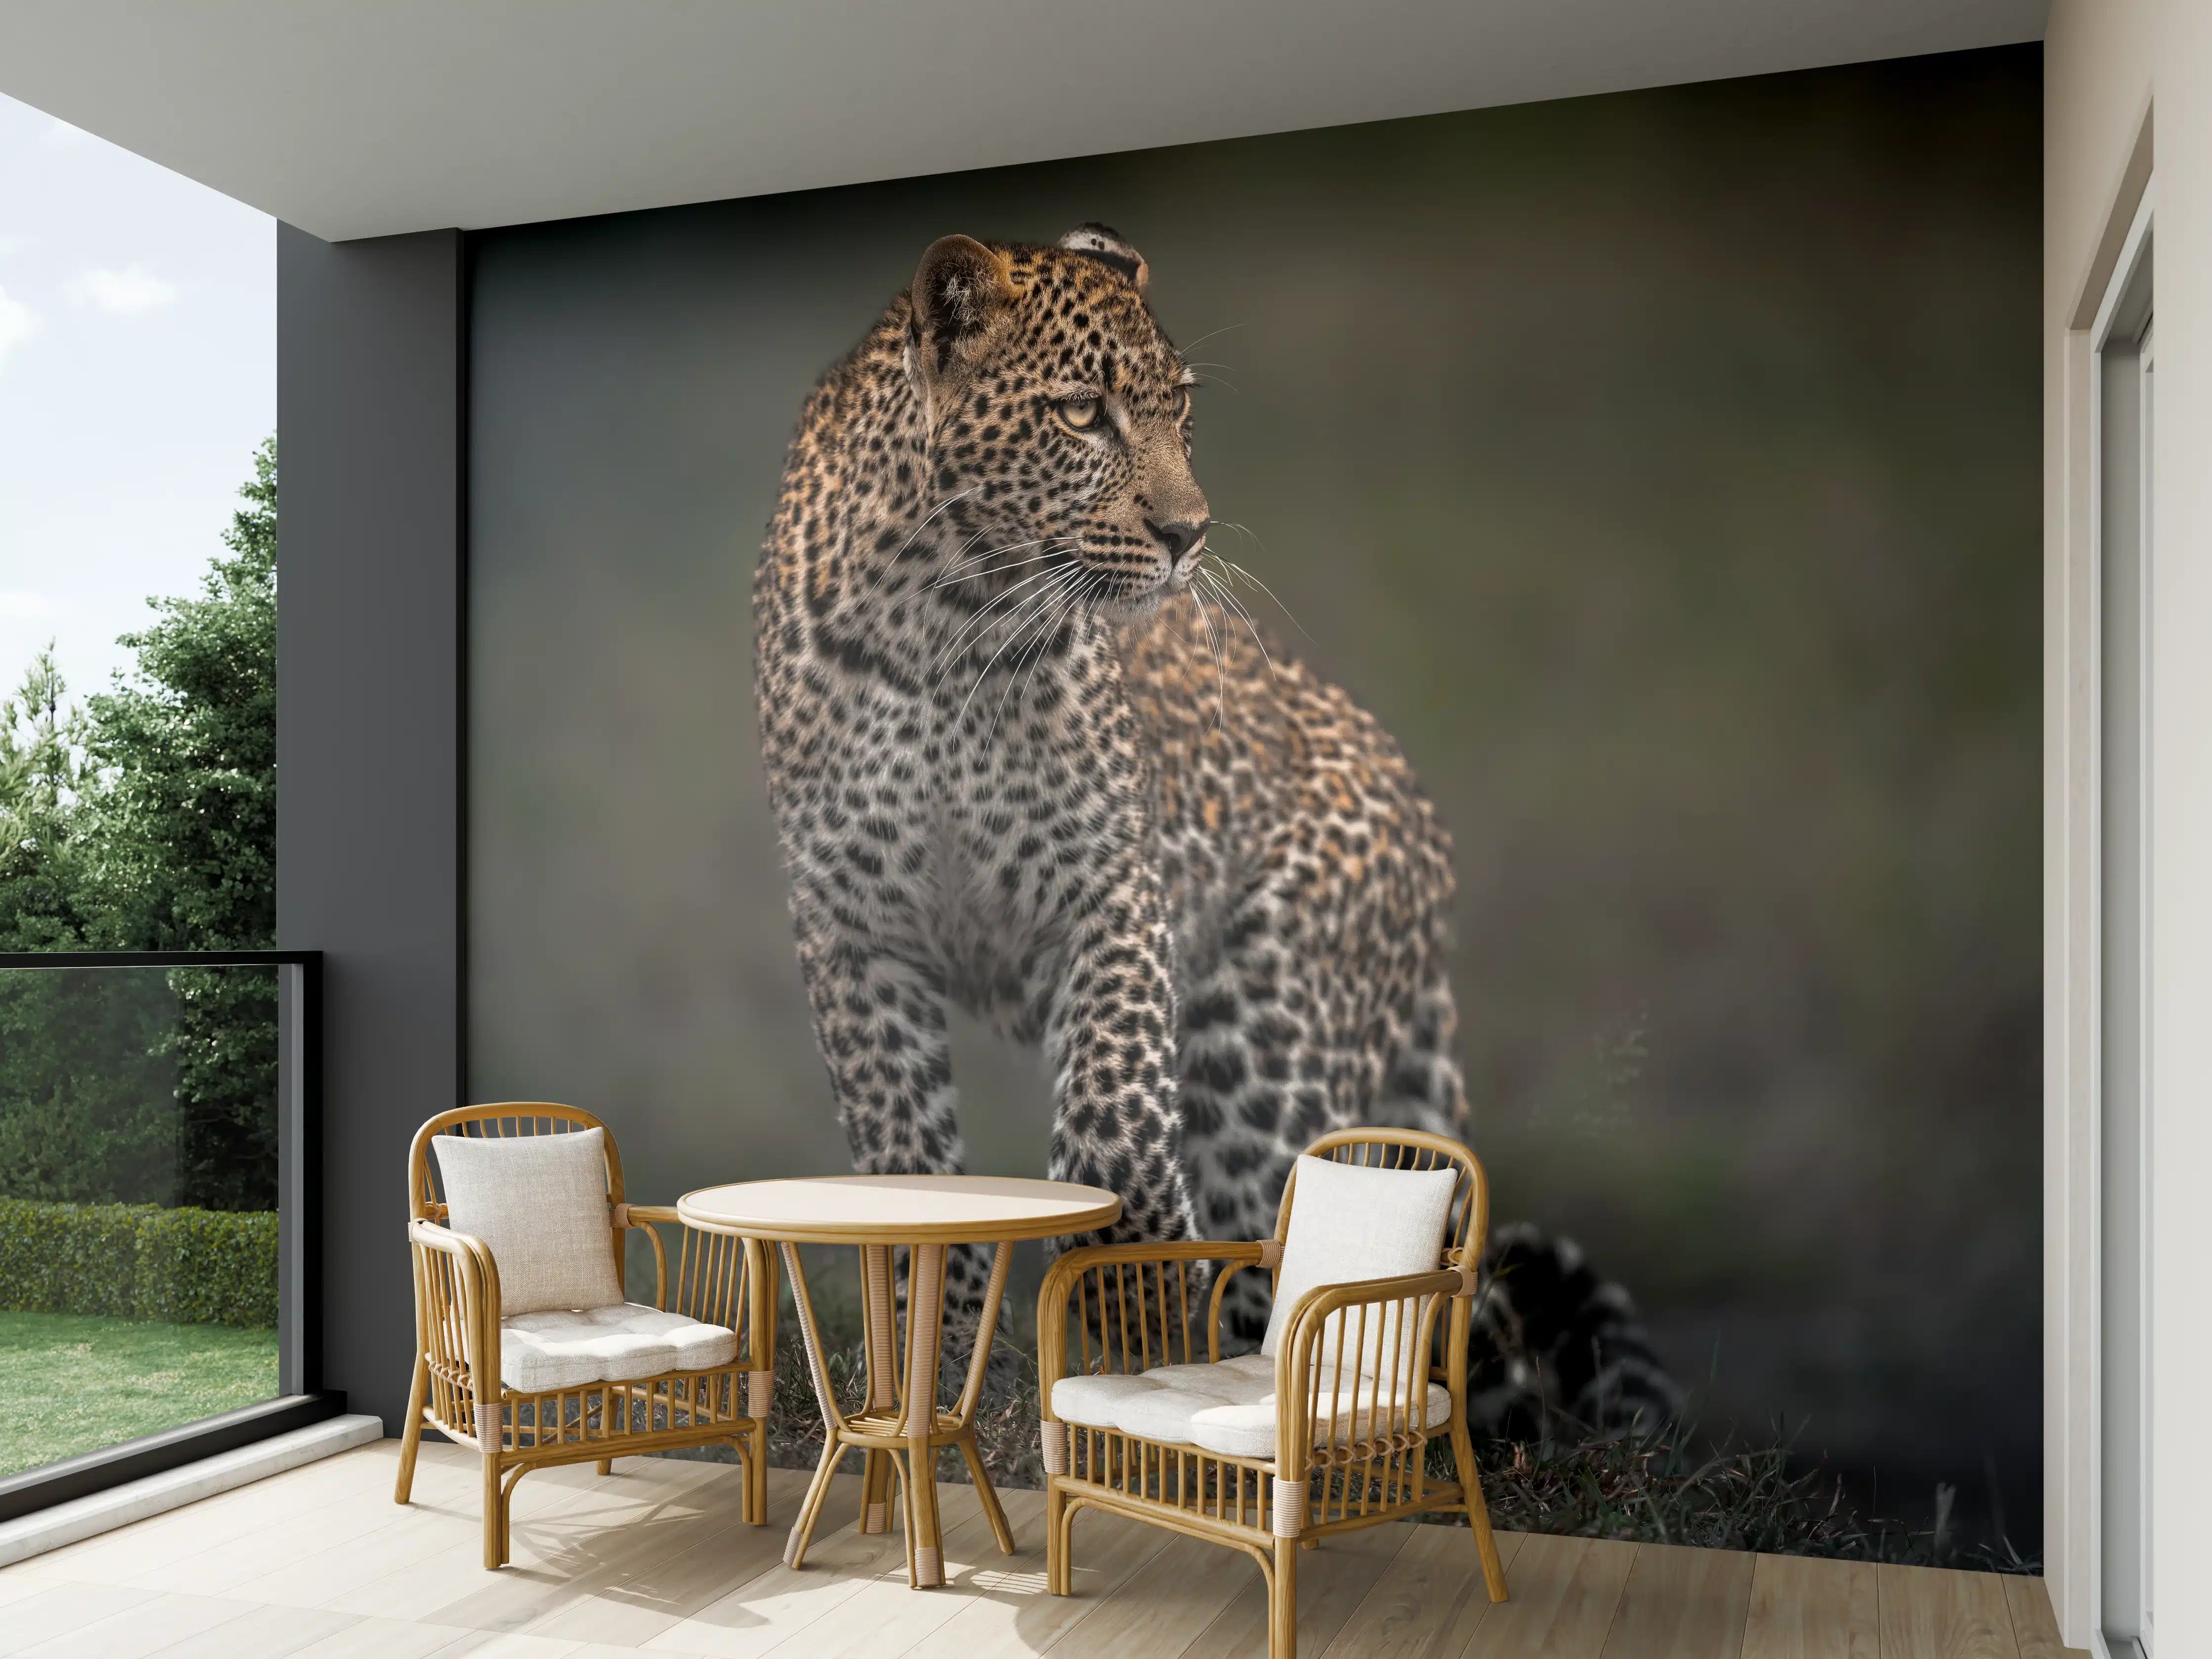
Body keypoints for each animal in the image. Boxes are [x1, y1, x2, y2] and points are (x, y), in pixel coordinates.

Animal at [753, 224, 1680, 1436]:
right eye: (1082, 413)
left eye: (1178, 407)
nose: (1187, 534)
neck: (942, 621)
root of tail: (1426, 843)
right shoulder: (851, 929)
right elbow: (908, 1171)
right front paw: (929, 1374)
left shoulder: (1108, 889)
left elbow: (1114, 1116)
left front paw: (1135, 1293)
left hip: (1265, 1051)